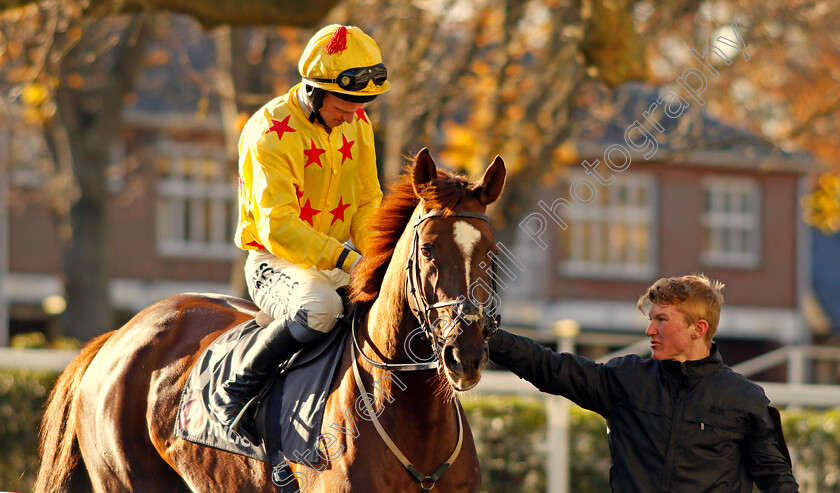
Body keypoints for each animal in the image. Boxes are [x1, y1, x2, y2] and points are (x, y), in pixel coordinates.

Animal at [34, 149, 506, 492]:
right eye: (427, 249)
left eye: (491, 250)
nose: (464, 354)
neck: (414, 418)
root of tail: (119, 335)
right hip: (126, 480)